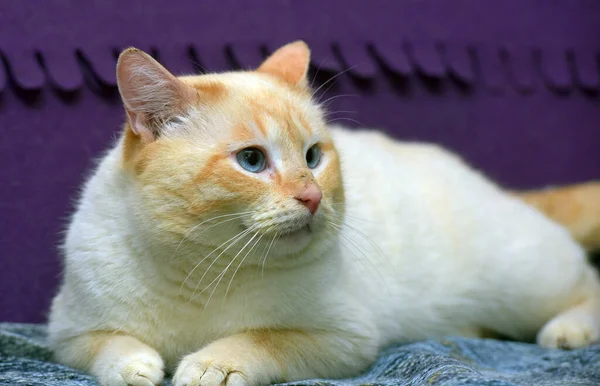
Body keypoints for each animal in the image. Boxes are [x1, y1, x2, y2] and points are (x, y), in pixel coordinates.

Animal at [49, 42, 600, 386]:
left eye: (314, 157)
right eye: (252, 161)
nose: (313, 197)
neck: (202, 267)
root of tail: (495, 188)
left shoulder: (342, 337)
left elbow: (259, 338)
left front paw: (209, 365)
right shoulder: (67, 332)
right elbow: (111, 345)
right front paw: (139, 366)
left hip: (521, 286)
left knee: (585, 286)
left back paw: (568, 332)